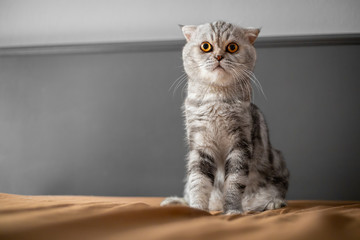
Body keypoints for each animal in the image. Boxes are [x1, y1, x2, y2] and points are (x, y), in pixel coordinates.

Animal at [162, 21, 290, 215]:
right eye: (206, 46)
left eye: (232, 47)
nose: (218, 56)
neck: (216, 100)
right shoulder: (201, 145)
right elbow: (198, 182)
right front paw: (197, 210)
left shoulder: (240, 144)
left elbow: (234, 183)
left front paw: (232, 211)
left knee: (262, 200)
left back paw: (273, 204)